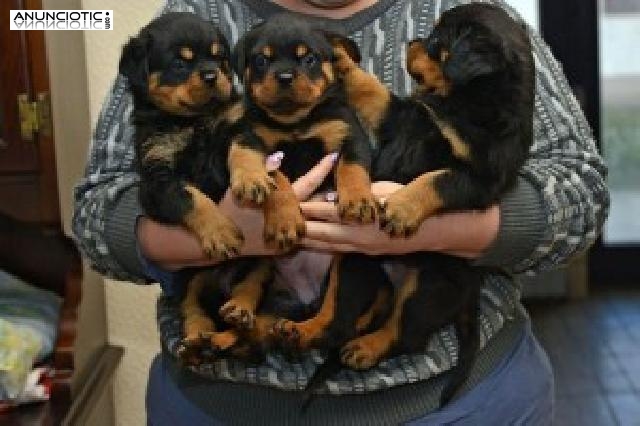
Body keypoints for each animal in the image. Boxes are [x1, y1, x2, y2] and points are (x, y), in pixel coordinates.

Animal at [119, 12, 274, 366]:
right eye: (179, 63)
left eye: (219, 57)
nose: (211, 75)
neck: (192, 121)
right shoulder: (157, 180)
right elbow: (191, 198)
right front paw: (220, 232)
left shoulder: (239, 128)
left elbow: (243, 152)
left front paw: (252, 180)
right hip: (189, 280)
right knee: (195, 314)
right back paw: (196, 345)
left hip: (263, 263)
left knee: (250, 295)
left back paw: (238, 313)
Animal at [229, 14, 376, 253]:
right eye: (261, 60)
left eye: (309, 59)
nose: (285, 76)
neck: (295, 121)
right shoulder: (250, 136)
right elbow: (274, 176)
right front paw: (281, 218)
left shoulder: (350, 135)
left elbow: (352, 168)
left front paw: (357, 200)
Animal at [276, 4, 536, 406]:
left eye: (436, 41)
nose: (413, 41)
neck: (460, 102)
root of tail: (471, 295)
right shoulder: (402, 116)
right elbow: (373, 91)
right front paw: (341, 62)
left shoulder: (478, 178)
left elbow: (434, 181)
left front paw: (400, 208)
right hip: (352, 265)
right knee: (338, 318)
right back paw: (302, 331)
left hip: (429, 285)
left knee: (406, 334)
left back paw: (365, 348)